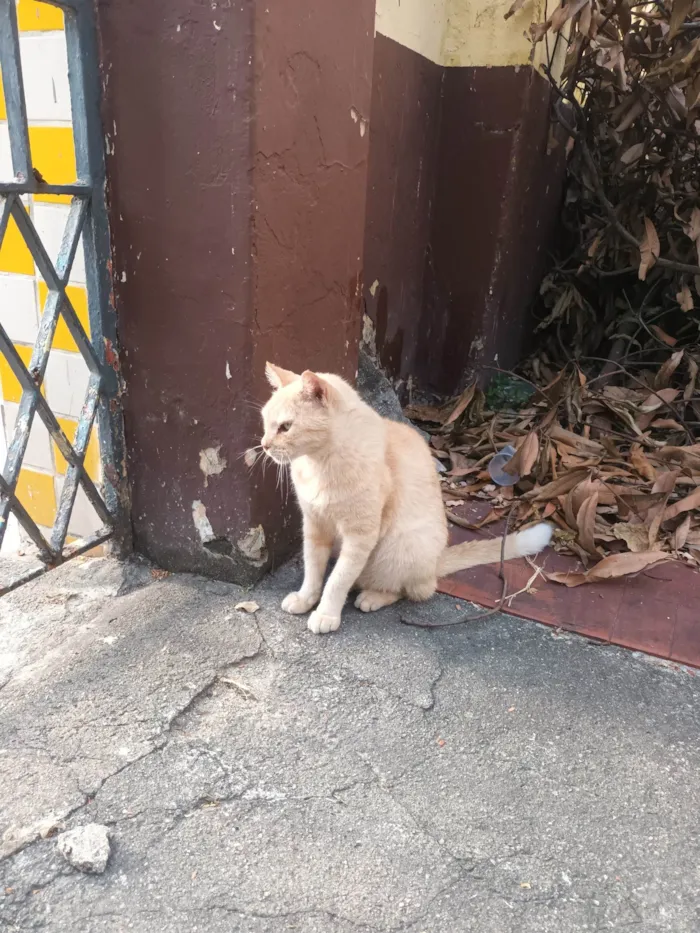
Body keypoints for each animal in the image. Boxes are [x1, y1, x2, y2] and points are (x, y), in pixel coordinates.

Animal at [260, 362, 548, 632]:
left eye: (285, 427)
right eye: (265, 423)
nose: (264, 445)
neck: (320, 463)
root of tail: (436, 562)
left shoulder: (360, 535)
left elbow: (338, 579)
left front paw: (326, 614)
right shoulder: (315, 525)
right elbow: (313, 569)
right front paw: (306, 599)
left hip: (402, 546)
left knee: (412, 590)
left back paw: (372, 596)